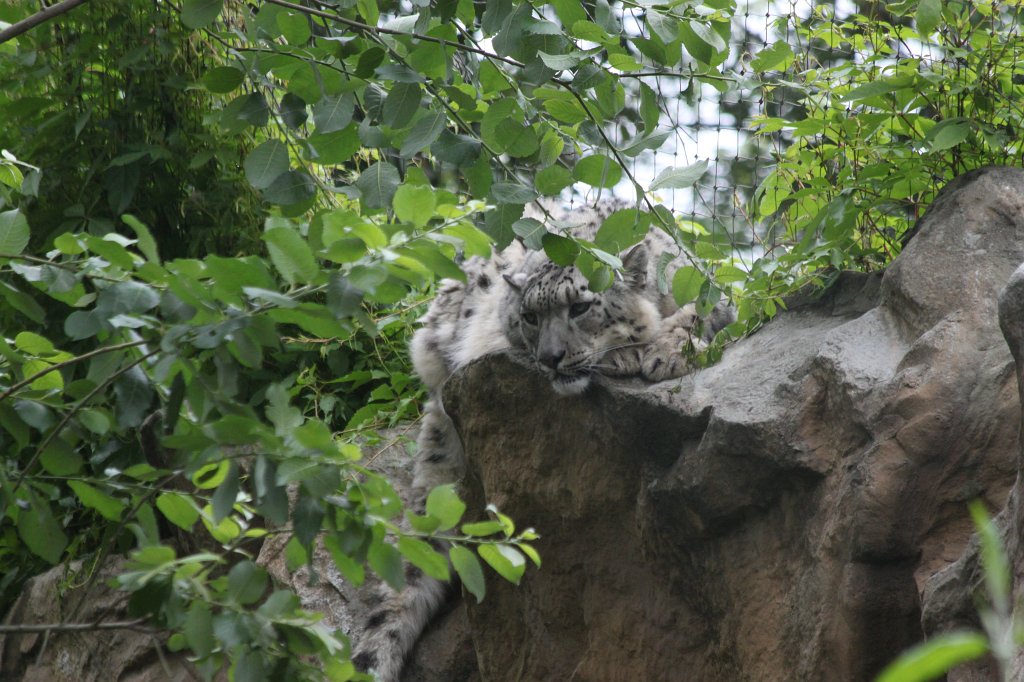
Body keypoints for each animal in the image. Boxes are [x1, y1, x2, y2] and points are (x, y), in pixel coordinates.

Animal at [351, 202, 733, 681]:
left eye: (582, 306)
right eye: (530, 317)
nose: (551, 358)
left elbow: (700, 311)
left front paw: (664, 352)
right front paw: (631, 354)